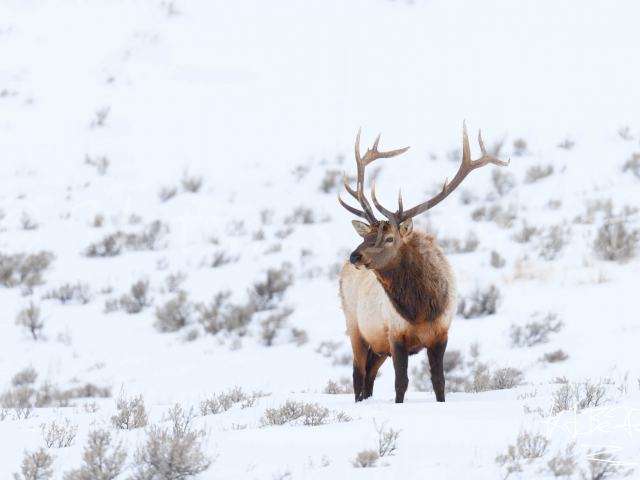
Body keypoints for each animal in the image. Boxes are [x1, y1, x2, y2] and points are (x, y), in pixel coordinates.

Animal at [337, 121, 510, 404]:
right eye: (367, 235)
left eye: (389, 238)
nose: (355, 256)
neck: (421, 311)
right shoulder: (395, 336)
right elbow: (401, 384)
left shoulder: (440, 335)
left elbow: (439, 382)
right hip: (355, 327)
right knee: (357, 375)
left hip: (377, 344)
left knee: (369, 375)